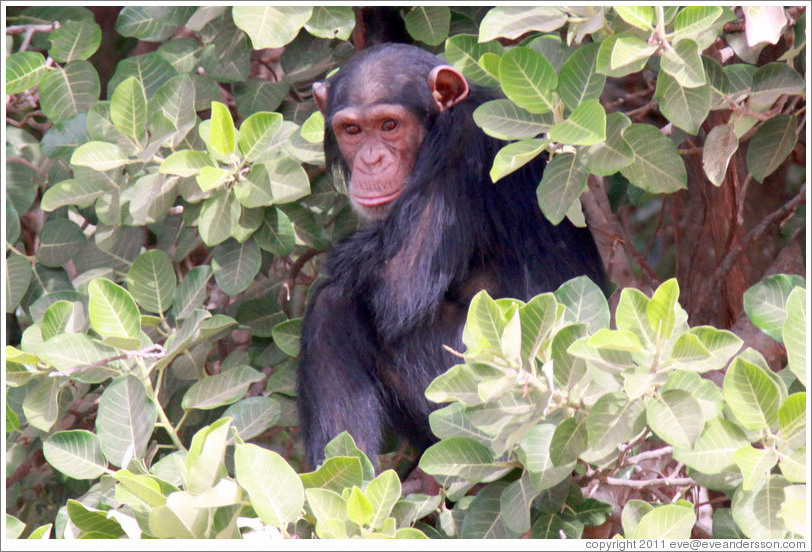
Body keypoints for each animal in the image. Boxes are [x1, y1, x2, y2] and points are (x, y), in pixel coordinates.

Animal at [296, 43, 604, 468]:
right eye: (352, 131)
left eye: (389, 125)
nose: (371, 160)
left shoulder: (460, 143)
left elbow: (401, 283)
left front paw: (341, 259)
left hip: (481, 386)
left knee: (336, 305)